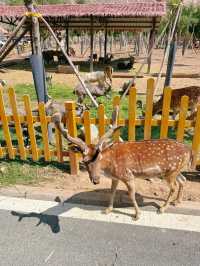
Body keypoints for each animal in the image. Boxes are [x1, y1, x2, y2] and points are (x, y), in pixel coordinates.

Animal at [52, 107, 193, 221]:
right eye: (84, 160)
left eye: (99, 157)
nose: (96, 180)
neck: (109, 166)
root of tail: (189, 150)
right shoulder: (115, 177)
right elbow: (112, 191)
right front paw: (107, 210)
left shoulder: (127, 175)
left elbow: (131, 195)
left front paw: (137, 215)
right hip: (176, 170)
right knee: (183, 179)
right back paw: (177, 201)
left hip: (171, 171)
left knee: (173, 187)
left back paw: (162, 208)